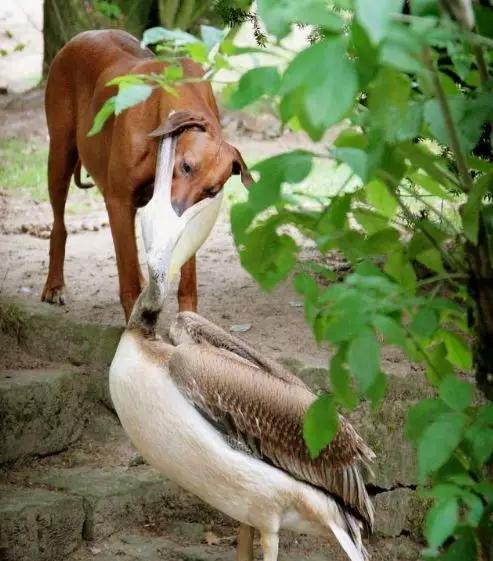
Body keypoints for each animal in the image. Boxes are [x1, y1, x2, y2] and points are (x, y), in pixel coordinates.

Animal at [41, 29, 250, 320]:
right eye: (185, 166)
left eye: (211, 191)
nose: (176, 212)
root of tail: (79, 37)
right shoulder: (118, 202)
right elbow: (127, 279)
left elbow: (187, 278)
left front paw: (187, 319)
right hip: (60, 158)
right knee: (59, 225)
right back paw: (54, 284)